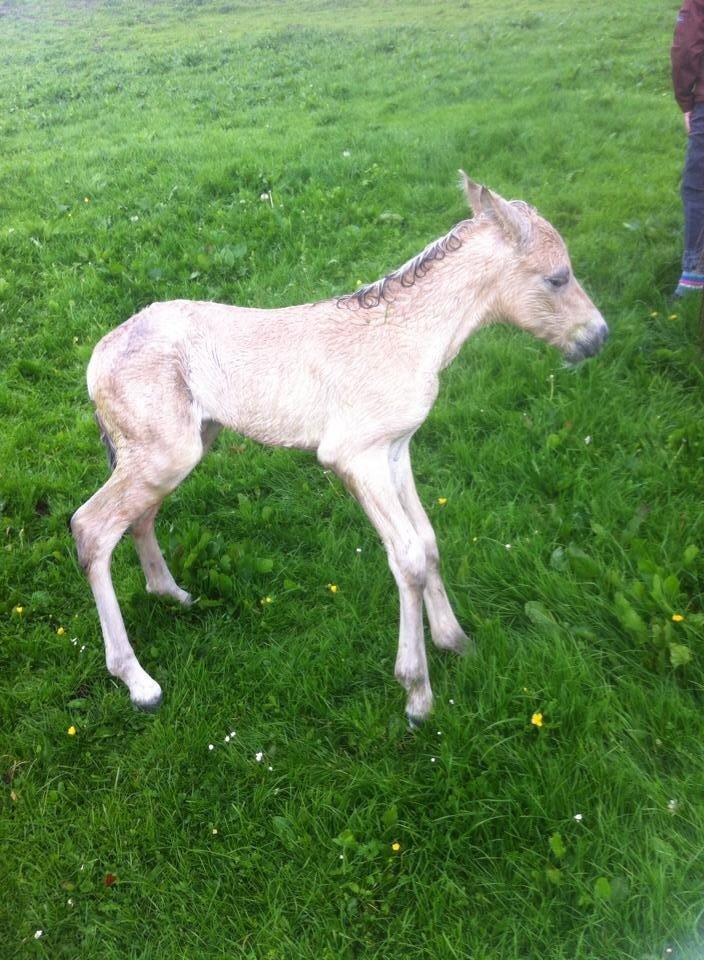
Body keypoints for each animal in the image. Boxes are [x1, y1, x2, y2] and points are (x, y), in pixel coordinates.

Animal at [74, 176, 608, 724]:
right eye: (558, 278)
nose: (597, 338)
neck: (407, 334)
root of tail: (98, 356)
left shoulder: (396, 450)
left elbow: (427, 541)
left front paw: (454, 640)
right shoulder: (356, 456)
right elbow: (408, 558)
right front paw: (417, 692)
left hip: (184, 447)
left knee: (138, 518)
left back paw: (173, 594)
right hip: (166, 454)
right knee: (91, 527)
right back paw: (138, 682)